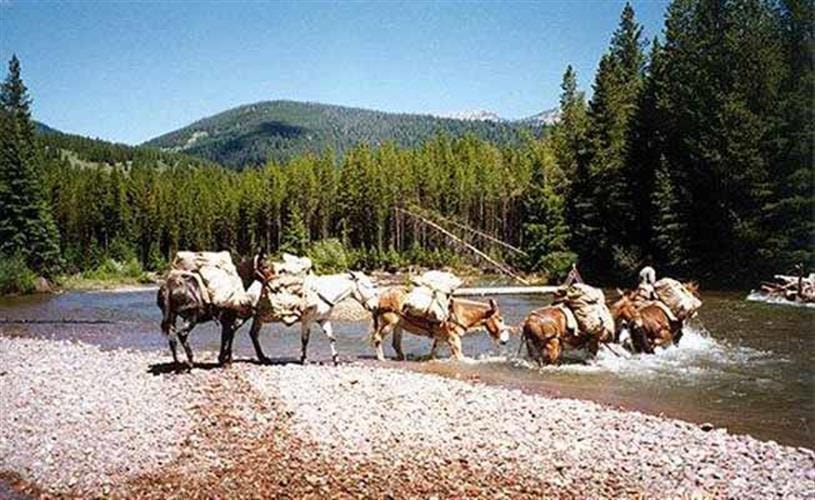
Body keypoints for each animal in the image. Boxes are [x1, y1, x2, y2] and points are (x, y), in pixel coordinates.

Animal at [245, 271, 379, 365]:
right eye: (365, 286)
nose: (375, 306)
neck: (324, 292)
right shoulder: (307, 320)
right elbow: (305, 340)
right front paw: (304, 359)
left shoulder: (323, 319)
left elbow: (331, 337)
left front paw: (336, 359)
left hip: (259, 318)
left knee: (253, 334)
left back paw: (263, 358)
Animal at [370, 287, 511, 361]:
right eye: (500, 319)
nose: (505, 341)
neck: (461, 313)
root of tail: (382, 296)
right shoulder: (454, 339)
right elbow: (460, 356)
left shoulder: (440, 338)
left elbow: (433, 352)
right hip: (389, 323)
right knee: (377, 338)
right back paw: (381, 358)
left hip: (398, 326)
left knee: (396, 343)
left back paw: (401, 357)